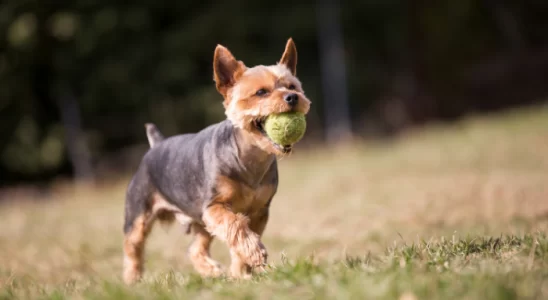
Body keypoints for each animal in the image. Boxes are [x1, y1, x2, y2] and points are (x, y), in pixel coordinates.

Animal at [125, 38, 312, 284]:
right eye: (261, 92)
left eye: (291, 87)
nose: (292, 97)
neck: (248, 157)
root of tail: (156, 144)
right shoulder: (214, 206)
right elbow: (236, 225)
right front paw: (254, 253)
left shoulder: (259, 211)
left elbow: (240, 238)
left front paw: (242, 273)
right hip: (139, 212)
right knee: (133, 247)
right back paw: (132, 280)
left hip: (201, 222)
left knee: (195, 248)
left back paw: (211, 270)